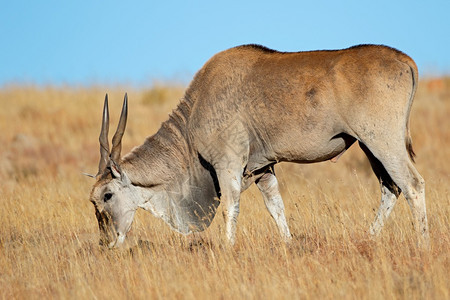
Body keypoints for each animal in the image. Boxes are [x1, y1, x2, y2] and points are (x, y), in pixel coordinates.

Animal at [88, 44, 428, 248]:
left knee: (412, 185)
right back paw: (367, 239)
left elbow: (230, 208)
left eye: (107, 195)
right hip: (370, 147)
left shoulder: (228, 166)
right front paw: (289, 246)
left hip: (382, 141)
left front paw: (228, 250)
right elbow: (276, 208)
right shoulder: (264, 169)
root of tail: (405, 60)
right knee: (391, 187)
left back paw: (422, 245)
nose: (107, 242)